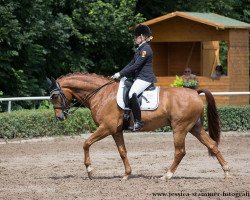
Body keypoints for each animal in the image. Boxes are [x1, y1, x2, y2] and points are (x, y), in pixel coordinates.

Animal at [46, 72, 229, 180]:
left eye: (55, 97)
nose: (60, 117)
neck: (102, 94)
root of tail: (195, 92)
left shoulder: (106, 128)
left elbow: (86, 143)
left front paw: (90, 171)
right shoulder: (116, 131)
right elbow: (122, 152)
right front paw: (126, 175)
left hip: (180, 128)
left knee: (180, 152)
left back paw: (166, 176)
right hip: (194, 128)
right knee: (212, 145)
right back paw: (227, 171)